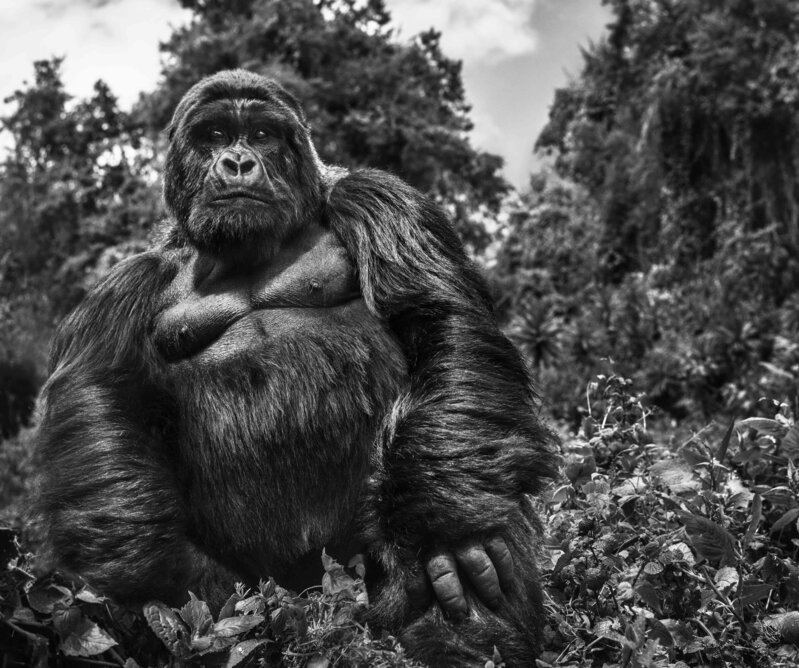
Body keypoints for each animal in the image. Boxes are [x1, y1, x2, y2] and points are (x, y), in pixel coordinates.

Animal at [36, 70, 556, 664]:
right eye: (214, 135)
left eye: (262, 134)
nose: (237, 162)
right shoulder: (129, 281)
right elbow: (102, 398)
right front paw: (170, 575)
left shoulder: (380, 198)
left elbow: (438, 317)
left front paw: (444, 527)